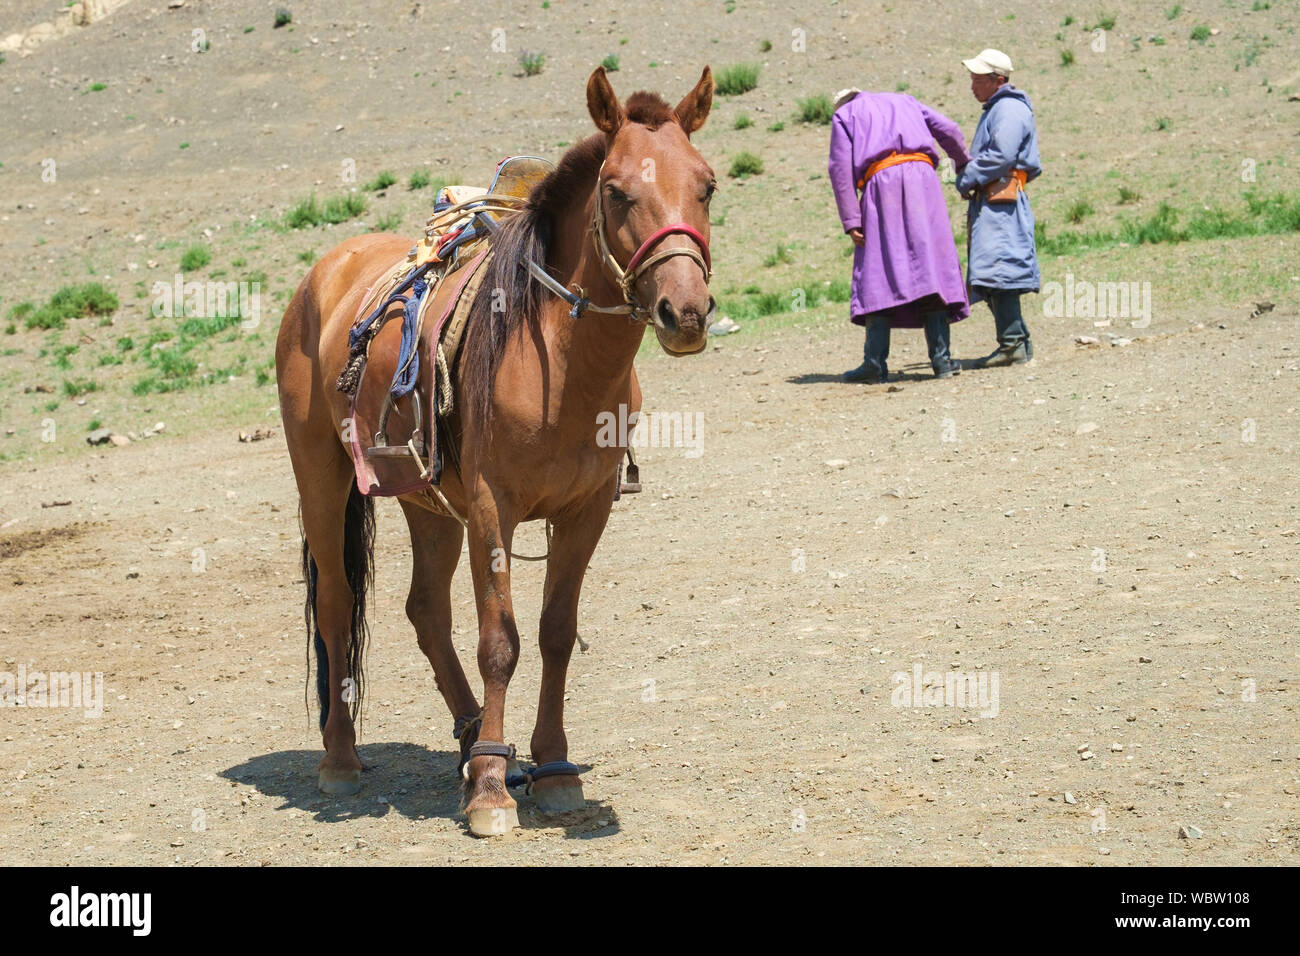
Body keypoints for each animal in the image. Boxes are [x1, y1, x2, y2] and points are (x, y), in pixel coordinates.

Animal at [274, 65, 717, 835]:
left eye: (708, 185)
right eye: (616, 190)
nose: (684, 313)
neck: (558, 362)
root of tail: (321, 274)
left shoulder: (586, 510)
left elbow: (555, 633)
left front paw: (553, 768)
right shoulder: (491, 508)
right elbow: (500, 640)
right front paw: (488, 792)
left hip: (424, 498)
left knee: (425, 610)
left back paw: (474, 736)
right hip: (324, 481)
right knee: (335, 603)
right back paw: (343, 759)